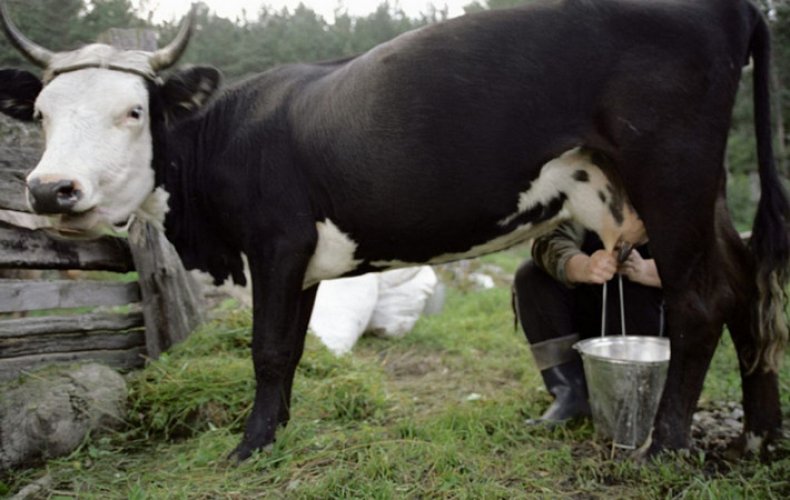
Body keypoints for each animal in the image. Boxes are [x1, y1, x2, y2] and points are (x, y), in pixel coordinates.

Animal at [0, 0, 788, 460]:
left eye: (134, 111)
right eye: (40, 112)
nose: (49, 189)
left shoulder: (276, 243)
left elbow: (267, 350)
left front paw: (248, 447)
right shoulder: (303, 261)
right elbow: (290, 352)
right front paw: (277, 430)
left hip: (672, 172)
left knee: (700, 300)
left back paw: (665, 446)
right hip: (689, 190)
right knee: (744, 284)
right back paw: (760, 433)